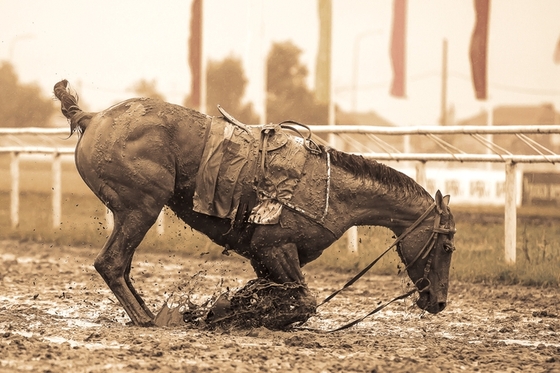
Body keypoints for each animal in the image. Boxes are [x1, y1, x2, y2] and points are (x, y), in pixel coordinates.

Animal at [52, 78, 456, 326]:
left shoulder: (265, 259)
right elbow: (304, 303)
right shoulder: (276, 247)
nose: (439, 302)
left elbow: (272, 295)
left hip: (133, 213)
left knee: (121, 266)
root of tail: (93, 117)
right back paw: (148, 319)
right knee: (111, 263)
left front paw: (228, 310)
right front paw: (236, 316)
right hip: (142, 209)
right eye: (447, 246)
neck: (333, 191)